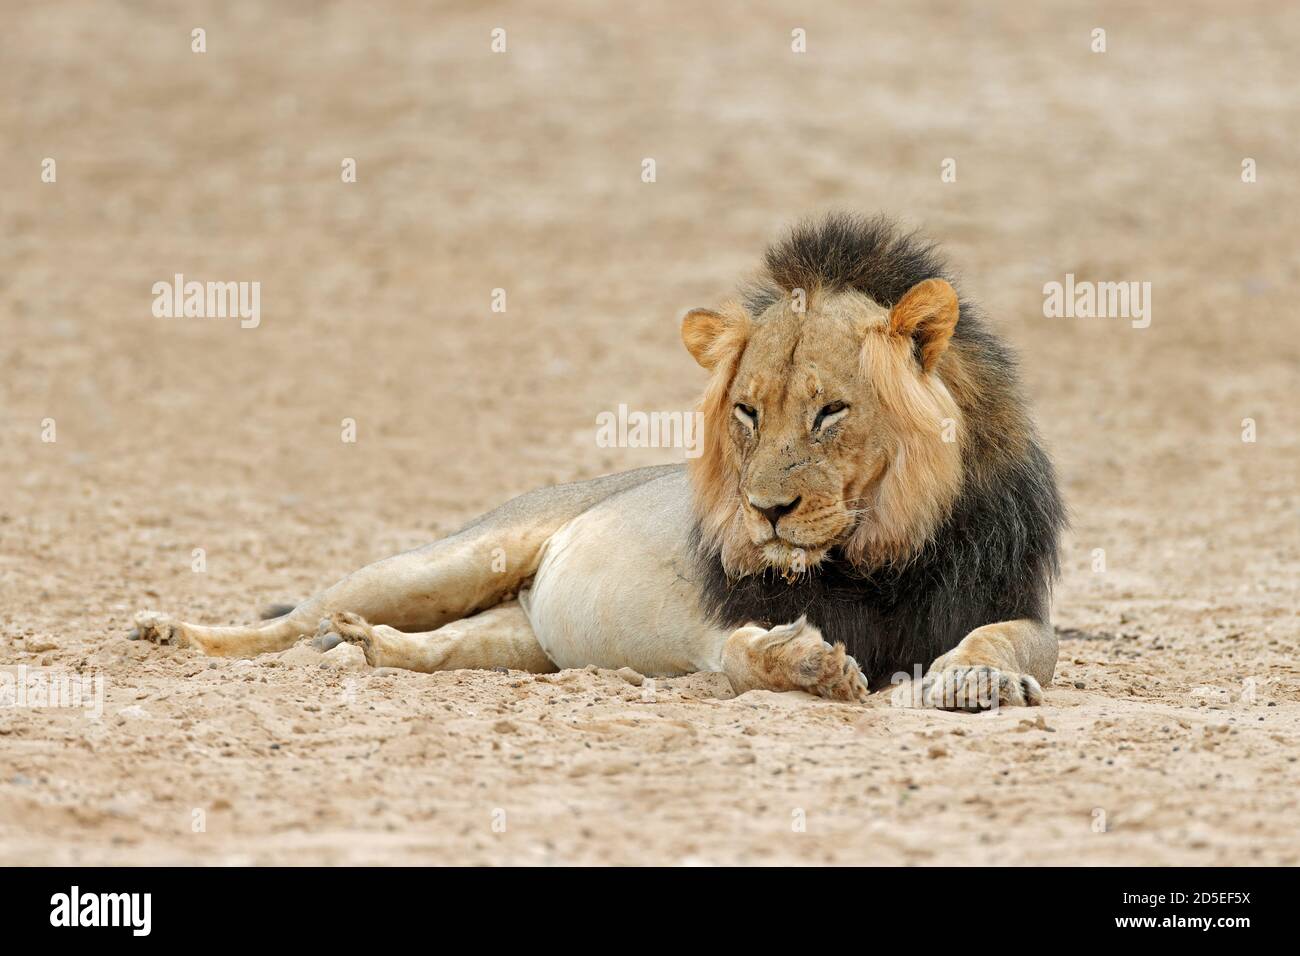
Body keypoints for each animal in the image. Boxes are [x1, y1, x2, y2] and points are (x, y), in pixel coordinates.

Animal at [133, 213, 1066, 709]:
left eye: (830, 412)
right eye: (747, 413)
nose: (766, 512)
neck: (876, 553)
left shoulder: (1012, 605)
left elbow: (1005, 641)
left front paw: (974, 680)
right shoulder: (720, 628)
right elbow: (746, 655)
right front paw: (808, 663)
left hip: (519, 642)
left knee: (412, 648)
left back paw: (369, 650)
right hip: (452, 559)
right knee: (299, 621)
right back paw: (174, 632)